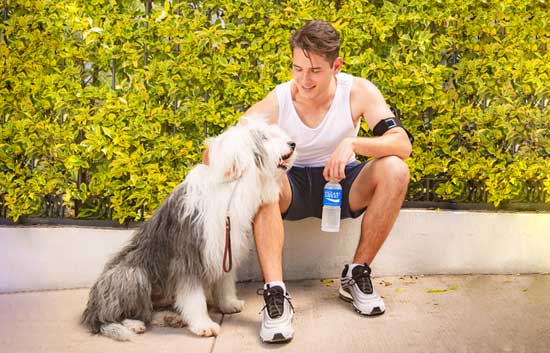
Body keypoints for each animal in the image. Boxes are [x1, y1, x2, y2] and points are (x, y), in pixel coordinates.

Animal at [81, 119, 296, 340]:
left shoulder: (224, 247)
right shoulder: (188, 257)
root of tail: (92, 307)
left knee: (149, 312)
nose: (292, 144)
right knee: (113, 316)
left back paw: (169, 318)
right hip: (130, 275)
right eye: (264, 137)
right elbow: (194, 297)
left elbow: (225, 282)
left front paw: (229, 304)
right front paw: (204, 325)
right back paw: (133, 324)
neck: (231, 188)